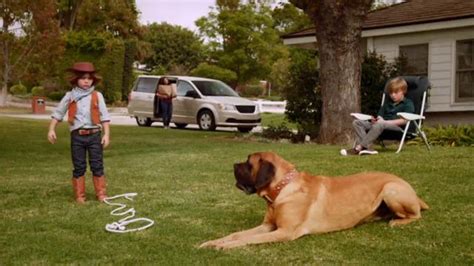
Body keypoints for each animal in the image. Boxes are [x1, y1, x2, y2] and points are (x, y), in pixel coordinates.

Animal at [200, 152, 430, 249]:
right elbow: (237, 234)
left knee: (416, 215)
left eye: (248, 164)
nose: (233, 165)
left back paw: (397, 221)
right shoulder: (267, 226)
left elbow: (248, 239)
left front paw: (224, 246)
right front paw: (212, 242)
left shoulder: (284, 232)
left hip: (391, 189)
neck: (282, 190)